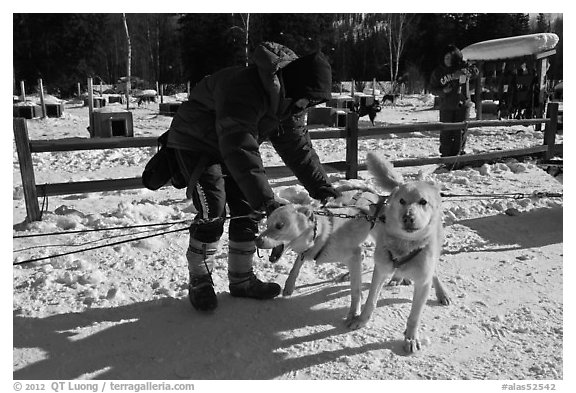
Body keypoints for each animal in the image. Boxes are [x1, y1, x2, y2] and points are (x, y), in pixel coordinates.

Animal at [346, 152, 450, 352]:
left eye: (423, 202)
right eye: (402, 201)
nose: (408, 217)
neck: (405, 246)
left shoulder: (423, 282)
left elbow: (415, 316)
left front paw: (411, 338)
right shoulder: (380, 270)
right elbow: (370, 300)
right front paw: (361, 320)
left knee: (434, 273)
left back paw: (441, 293)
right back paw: (398, 277)